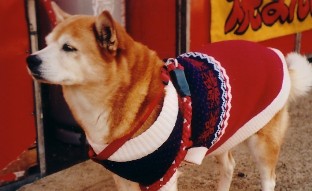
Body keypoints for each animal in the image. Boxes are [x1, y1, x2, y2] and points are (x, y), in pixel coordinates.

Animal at [26, 2, 312, 191]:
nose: (30, 59)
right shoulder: (125, 178)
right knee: (229, 165)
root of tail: (272, 52)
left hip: (262, 142)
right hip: (222, 132)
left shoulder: (162, 178)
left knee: (268, 179)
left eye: (68, 48)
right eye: (46, 43)